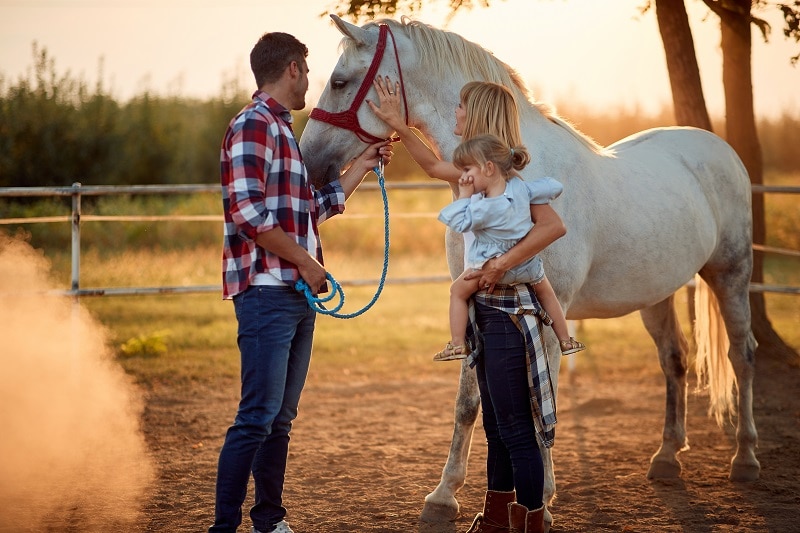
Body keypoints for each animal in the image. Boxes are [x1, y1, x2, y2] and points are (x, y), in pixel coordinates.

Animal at [296, 16, 760, 528]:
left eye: (340, 82)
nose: (309, 164)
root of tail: (718, 148)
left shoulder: (548, 311)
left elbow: (542, 404)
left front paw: (545, 501)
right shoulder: (472, 303)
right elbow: (468, 404)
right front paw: (443, 497)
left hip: (731, 274)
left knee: (742, 355)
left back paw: (745, 459)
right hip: (656, 293)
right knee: (674, 360)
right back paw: (666, 458)